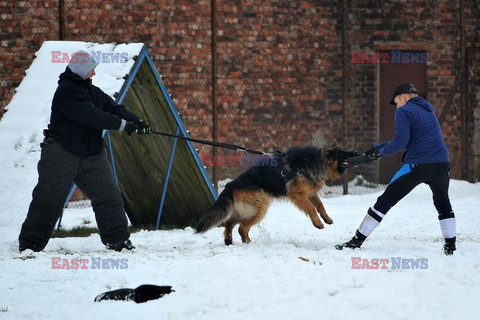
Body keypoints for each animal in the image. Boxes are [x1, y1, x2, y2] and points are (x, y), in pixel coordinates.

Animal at [194, 146, 356, 245]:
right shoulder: (298, 195)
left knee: (229, 223)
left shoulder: (310, 193)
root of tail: (230, 186)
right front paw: (318, 223)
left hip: (245, 210)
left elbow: (320, 205)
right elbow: (311, 208)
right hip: (260, 207)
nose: (357, 152)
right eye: (343, 153)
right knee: (242, 228)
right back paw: (248, 244)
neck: (317, 162)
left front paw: (327, 219)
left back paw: (229, 241)